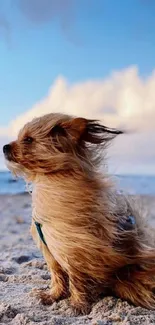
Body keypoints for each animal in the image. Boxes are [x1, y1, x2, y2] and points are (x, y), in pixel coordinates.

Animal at [2, 112, 155, 314]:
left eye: (28, 139)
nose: (4, 147)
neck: (50, 180)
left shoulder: (75, 250)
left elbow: (76, 278)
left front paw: (77, 304)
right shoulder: (52, 252)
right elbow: (57, 275)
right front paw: (53, 295)